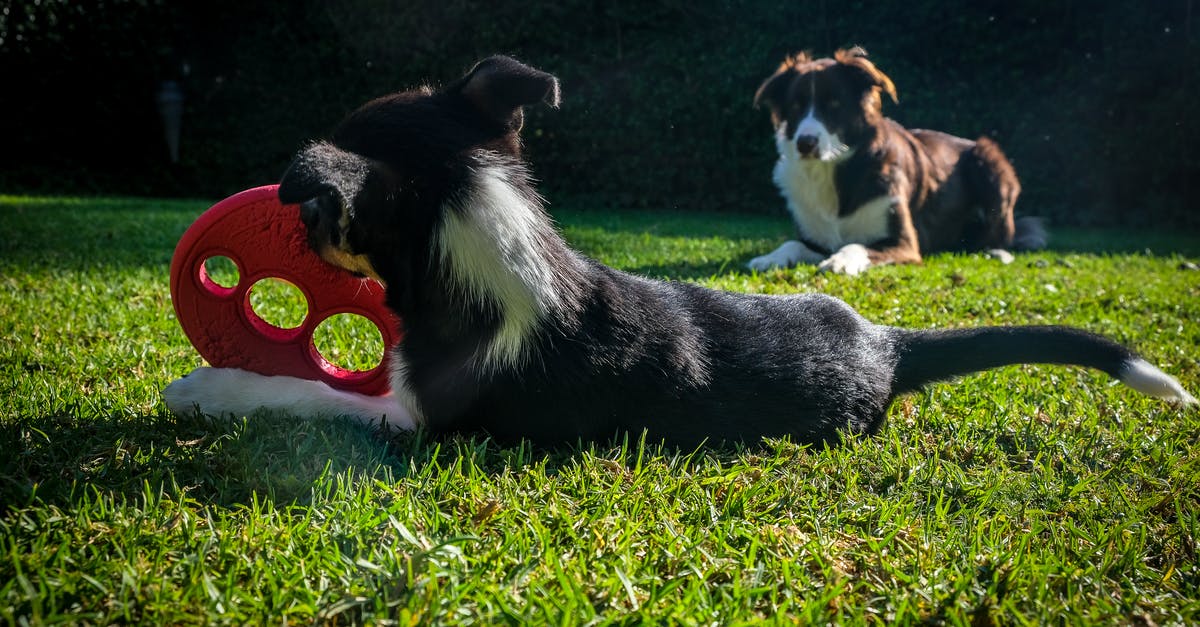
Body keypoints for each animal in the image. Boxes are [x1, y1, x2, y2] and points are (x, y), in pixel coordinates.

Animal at [164, 53, 1195, 444]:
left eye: (313, 218)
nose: (293, 214)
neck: (489, 241)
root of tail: (888, 344)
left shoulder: (418, 421)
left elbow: (309, 394)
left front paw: (208, 387)